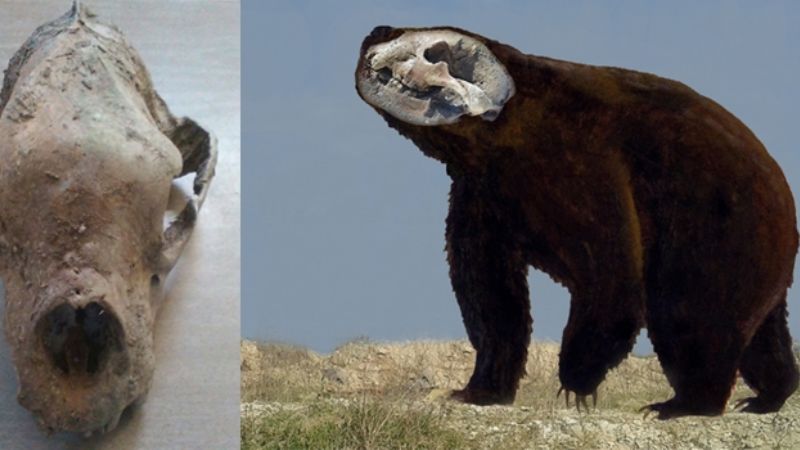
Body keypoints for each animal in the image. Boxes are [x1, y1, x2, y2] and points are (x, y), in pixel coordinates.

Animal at [355, 25, 799, 419]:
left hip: (717, 229)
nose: (374, 30)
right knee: (762, 333)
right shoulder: (484, 193)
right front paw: (476, 390)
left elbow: (609, 274)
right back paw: (765, 396)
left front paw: (576, 383)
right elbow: (490, 293)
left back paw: (681, 404)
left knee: (692, 313)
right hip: (757, 256)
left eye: (417, 49)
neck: (507, 130)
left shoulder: (580, 161)